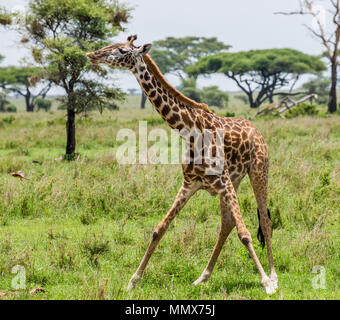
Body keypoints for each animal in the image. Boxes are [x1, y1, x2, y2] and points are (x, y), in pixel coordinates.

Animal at [86, 35, 278, 296]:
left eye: (122, 50)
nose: (92, 55)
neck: (188, 130)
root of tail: (256, 130)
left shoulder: (223, 181)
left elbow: (245, 234)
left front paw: (267, 283)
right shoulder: (190, 184)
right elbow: (159, 229)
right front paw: (134, 280)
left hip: (257, 171)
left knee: (265, 221)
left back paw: (273, 275)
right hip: (235, 181)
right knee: (226, 224)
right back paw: (203, 277)